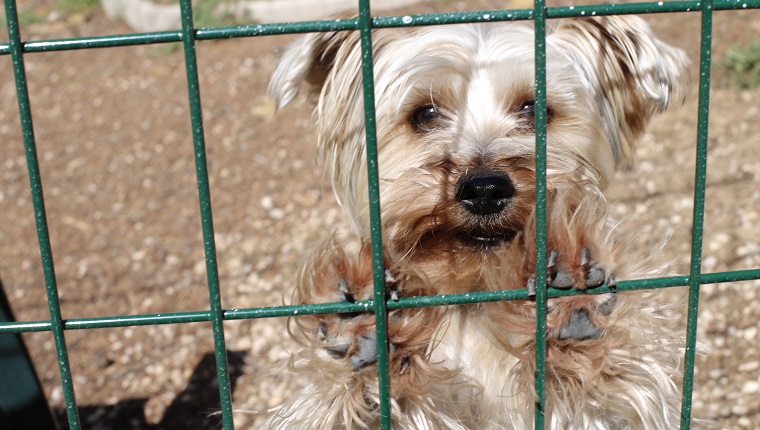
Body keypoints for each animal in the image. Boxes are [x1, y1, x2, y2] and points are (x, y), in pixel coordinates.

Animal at [260, 15, 688, 430]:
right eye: (426, 113)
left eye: (535, 109)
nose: (484, 189)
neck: (477, 294)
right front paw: (366, 328)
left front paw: (571, 302)